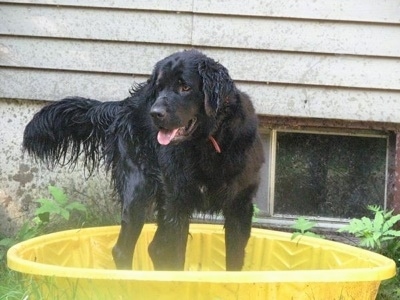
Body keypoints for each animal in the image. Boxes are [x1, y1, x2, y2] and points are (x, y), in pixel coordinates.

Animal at [23, 49, 264, 272]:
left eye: (185, 87)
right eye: (160, 87)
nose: (155, 113)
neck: (207, 144)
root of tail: (126, 104)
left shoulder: (239, 206)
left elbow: (234, 260)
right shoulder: (177, 204)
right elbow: (176, 258)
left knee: (155, 248)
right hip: (138, 188)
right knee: (123, 249)